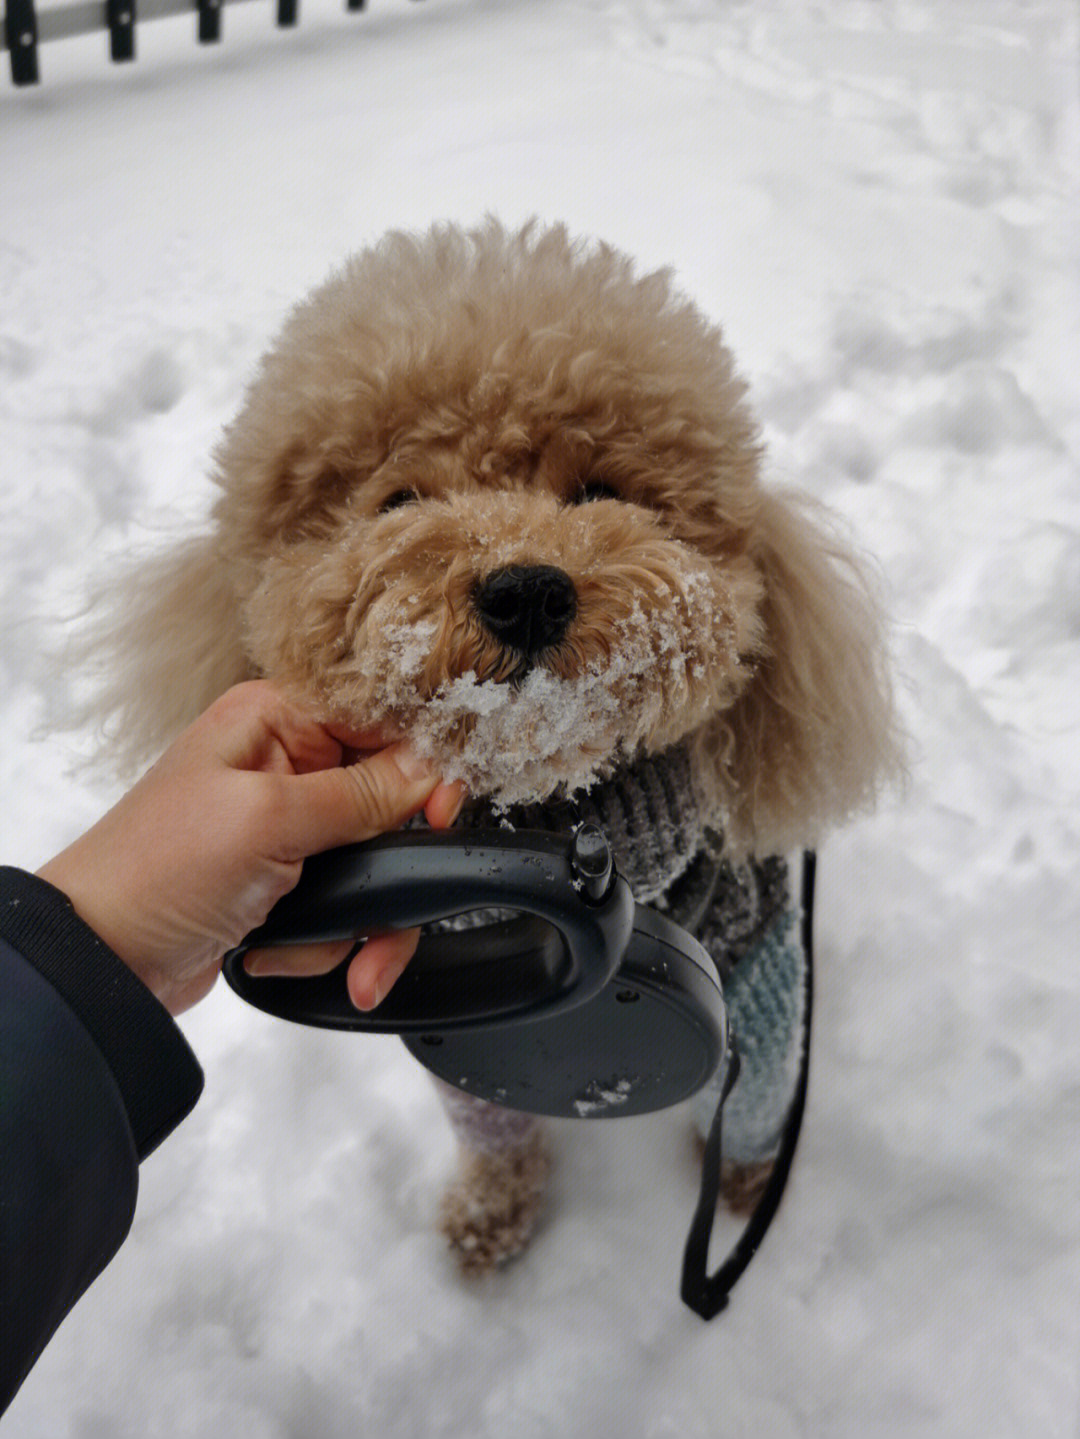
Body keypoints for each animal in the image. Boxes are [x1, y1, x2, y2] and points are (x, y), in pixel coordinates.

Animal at [76, 218, 897, 1277]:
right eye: (395, 501)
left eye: (600, 489)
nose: (528, 590)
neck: (556, 814)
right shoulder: (450, 998)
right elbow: (491, 1118)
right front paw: (491, 1214)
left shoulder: (754, 964)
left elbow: (754, 1093)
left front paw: (752, 1189)